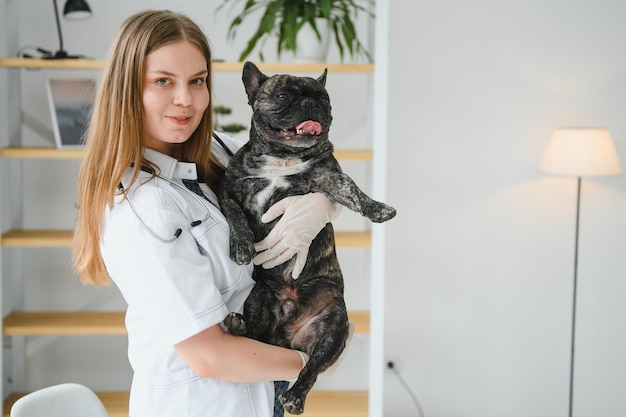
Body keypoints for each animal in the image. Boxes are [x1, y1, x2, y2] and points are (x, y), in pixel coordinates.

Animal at [221, 61, 394, 412]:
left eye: (325, 98)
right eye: (283, 95)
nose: (310, 104)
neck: (281, 156)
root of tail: (286, 335)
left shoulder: (330, 177)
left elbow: (353, 191)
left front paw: (378, 208)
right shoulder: (229, 189)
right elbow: (234, 212)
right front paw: (242, 245)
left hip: (334, 324)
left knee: (311, 366)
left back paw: (296, 396)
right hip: (259, 297)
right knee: (255, 335)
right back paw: (239, 325)